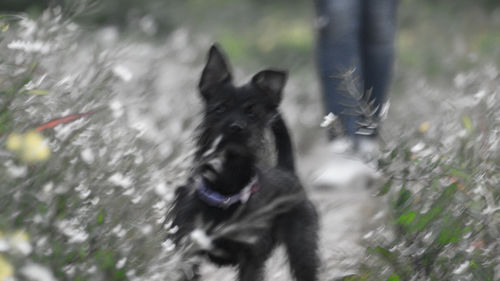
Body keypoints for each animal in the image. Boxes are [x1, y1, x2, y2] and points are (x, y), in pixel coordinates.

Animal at [167, 44, 316, 280]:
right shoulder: (188, 250)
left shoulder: (251, 260)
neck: (226, 186)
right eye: (219, 108)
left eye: (252, 113)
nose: (236, 127)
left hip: (302, 248)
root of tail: (287, 171)